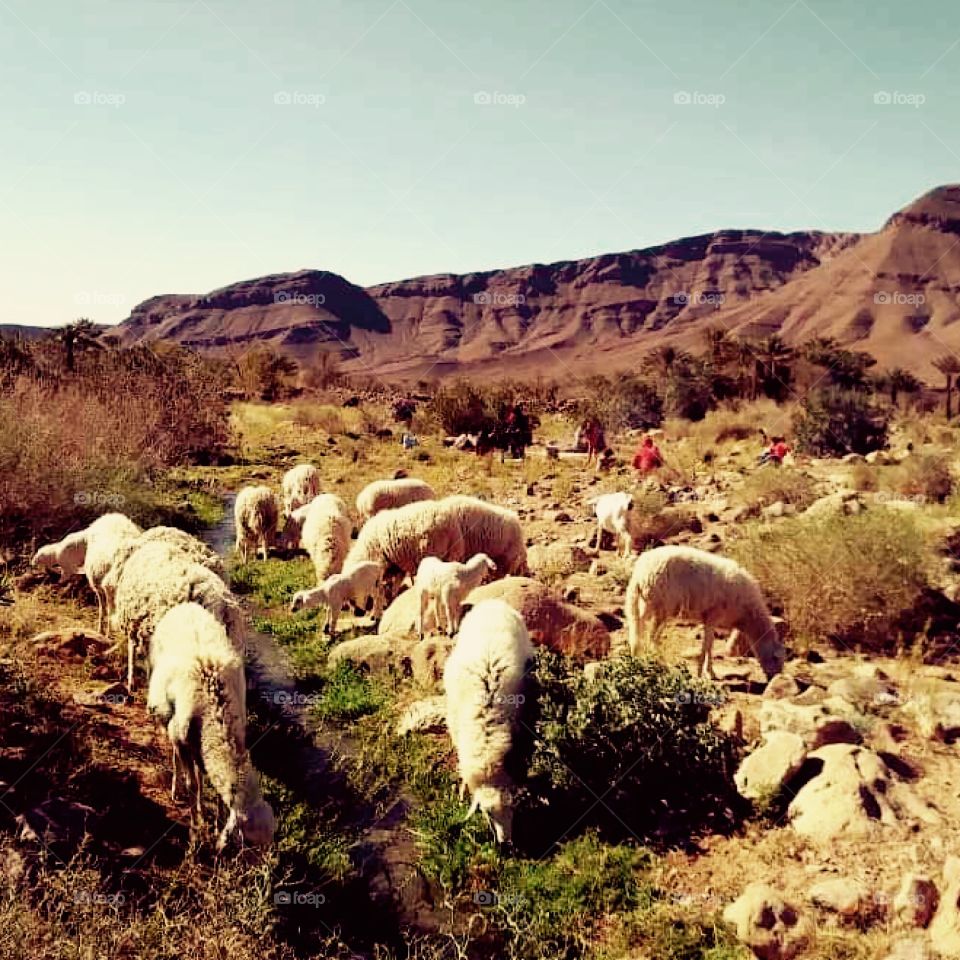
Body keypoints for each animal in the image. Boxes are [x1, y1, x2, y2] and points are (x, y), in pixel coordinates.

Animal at [147, 603, 275, 850]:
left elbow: (214, 790)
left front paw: (216, 822)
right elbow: (193, 784)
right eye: (248, 843)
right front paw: (196, 824)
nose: (262, 867)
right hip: (171, 720)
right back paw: (176, 789)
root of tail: (185, 605)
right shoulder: (183, 740)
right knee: (176, 755)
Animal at [624, 545, 785, 680]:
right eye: (775, 659)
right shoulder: (713, 616)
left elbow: (709, 645)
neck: (747, 616)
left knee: (637, 630)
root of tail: (640, 572)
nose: (774, 678)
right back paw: (660, 664)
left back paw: (637, 660)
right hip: (660, 605)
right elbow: (708, 645)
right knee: (651, 637)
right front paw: (703, 672)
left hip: (645, 601)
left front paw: (707, 671)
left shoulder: (709, 618)